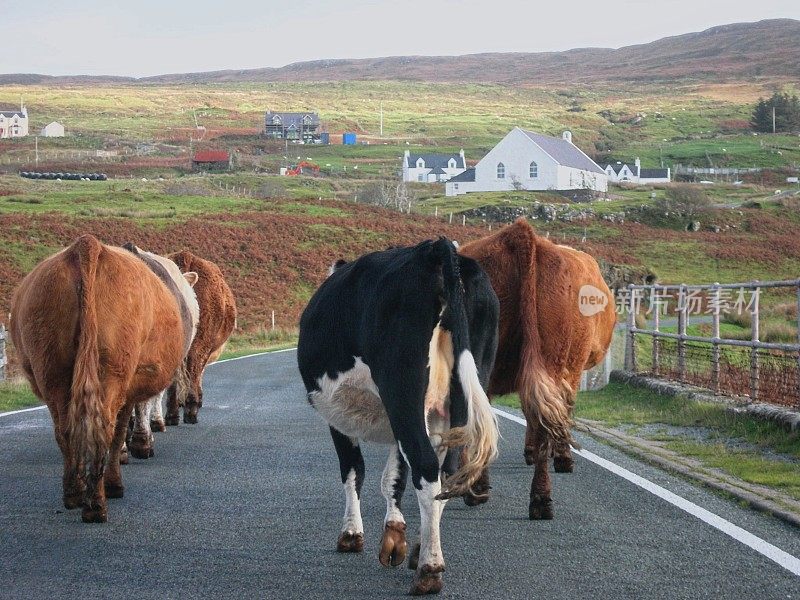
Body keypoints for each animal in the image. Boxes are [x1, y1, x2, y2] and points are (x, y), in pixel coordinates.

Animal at [10, 234, 197, 520]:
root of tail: (87, 245)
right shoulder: (134, 382)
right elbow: (128, 422)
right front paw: (138, 450)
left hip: (52, 370)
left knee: (66, 430)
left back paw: (75, 493)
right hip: (113, 372)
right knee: (106, 430)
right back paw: (98, 502)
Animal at [300, 239, 500, 596]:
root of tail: (433, 249)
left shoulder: (338, 417)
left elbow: (354, 471)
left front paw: (351, 534)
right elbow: (394, 476)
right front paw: (395, 536)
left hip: (401, 390)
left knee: (425, 464)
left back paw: (429, 569)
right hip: (461, 391)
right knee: (446, 472)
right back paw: (422, 550)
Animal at [460, 220, 616, 520]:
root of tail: (521, 234)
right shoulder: (572, 370)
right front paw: (561, 455)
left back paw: (483, 490)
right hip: (551, 359)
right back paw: (539, 498)